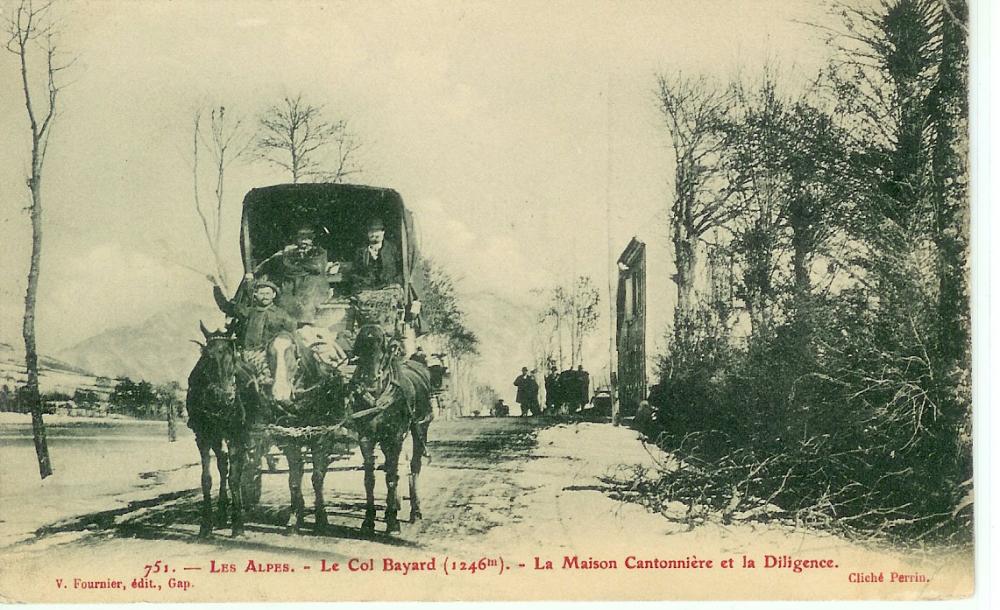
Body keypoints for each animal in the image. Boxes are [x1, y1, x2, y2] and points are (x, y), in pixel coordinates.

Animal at [350, 324, 432, 532]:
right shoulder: (366, 438)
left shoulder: (394, 437)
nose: (370, 380)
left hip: (420, 427)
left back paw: (415, 511)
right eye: (361, 345)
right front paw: (368, 520)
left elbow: (393, 477)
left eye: (383, 347)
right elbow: (369, 478)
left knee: (413, 466)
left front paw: (393, 522)